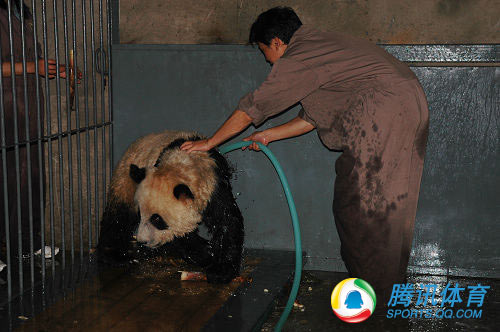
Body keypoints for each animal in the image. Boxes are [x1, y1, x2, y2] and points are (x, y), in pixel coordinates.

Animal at [96, 130, 244, 282]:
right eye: (140, 214)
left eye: (157, 219)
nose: (142, 240)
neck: (184, 167)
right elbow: (182, 238)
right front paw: (206, 253)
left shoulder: (215, 186)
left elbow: (227, 221)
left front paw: (221, 270)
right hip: (126, 179)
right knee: (118, 215)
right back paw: (115, 255)